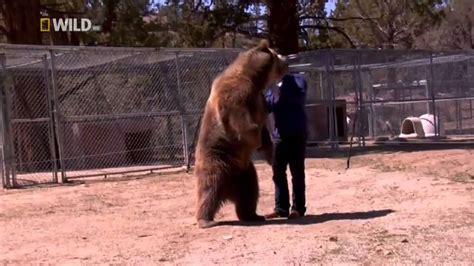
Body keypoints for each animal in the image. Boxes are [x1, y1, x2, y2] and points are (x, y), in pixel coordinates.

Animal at [193, 40, 288, 229]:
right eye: (278, 55)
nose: (287, 60)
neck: (255, 80)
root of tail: (229, 189)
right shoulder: (237, 95)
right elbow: (243, 123)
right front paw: (256, 141)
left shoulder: (259, 101)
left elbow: (263, 129)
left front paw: (270, 154)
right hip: (216, 159)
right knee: (209, 188)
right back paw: (206, 220)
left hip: (245, 171)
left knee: (250, 192)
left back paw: (253, 215)